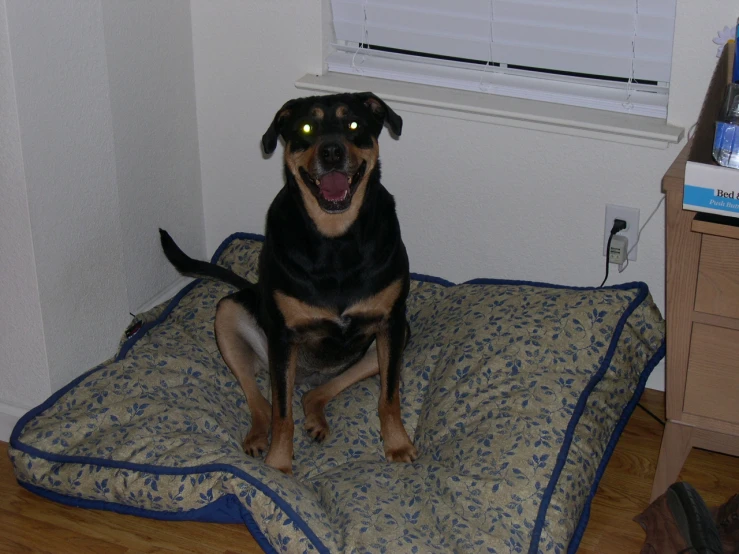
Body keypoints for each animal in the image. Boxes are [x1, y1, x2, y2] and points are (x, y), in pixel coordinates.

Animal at [160, 92, 416, 472]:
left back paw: (315, 416)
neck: (335, 238)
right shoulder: (282, 336)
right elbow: (282, 415)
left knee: (313, 393)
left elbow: (390, 395)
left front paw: (398, 443)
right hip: (230, 315)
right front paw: (278, 465)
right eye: (306, 127)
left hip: (391, 341)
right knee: (262, 400)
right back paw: (256, 438)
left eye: (353, 123)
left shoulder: (392, 322)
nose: (331, 151)